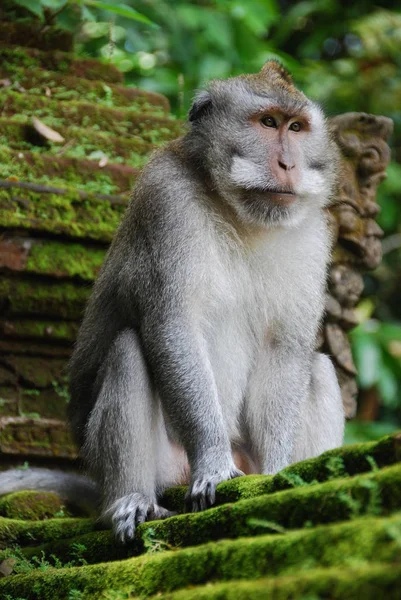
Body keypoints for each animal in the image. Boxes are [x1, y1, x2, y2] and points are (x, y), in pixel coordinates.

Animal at [0, 62, 344, 544]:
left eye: (296, 128)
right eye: (268, 123)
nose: (288, 164)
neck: (240, 213)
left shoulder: (312, 232)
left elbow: (286, 350)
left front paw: (280, 473)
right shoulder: (167, 202)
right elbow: (174, 327)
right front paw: (214, 463)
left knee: (320, 367)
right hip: (159, 466)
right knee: (128, 350)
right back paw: (130, 501)